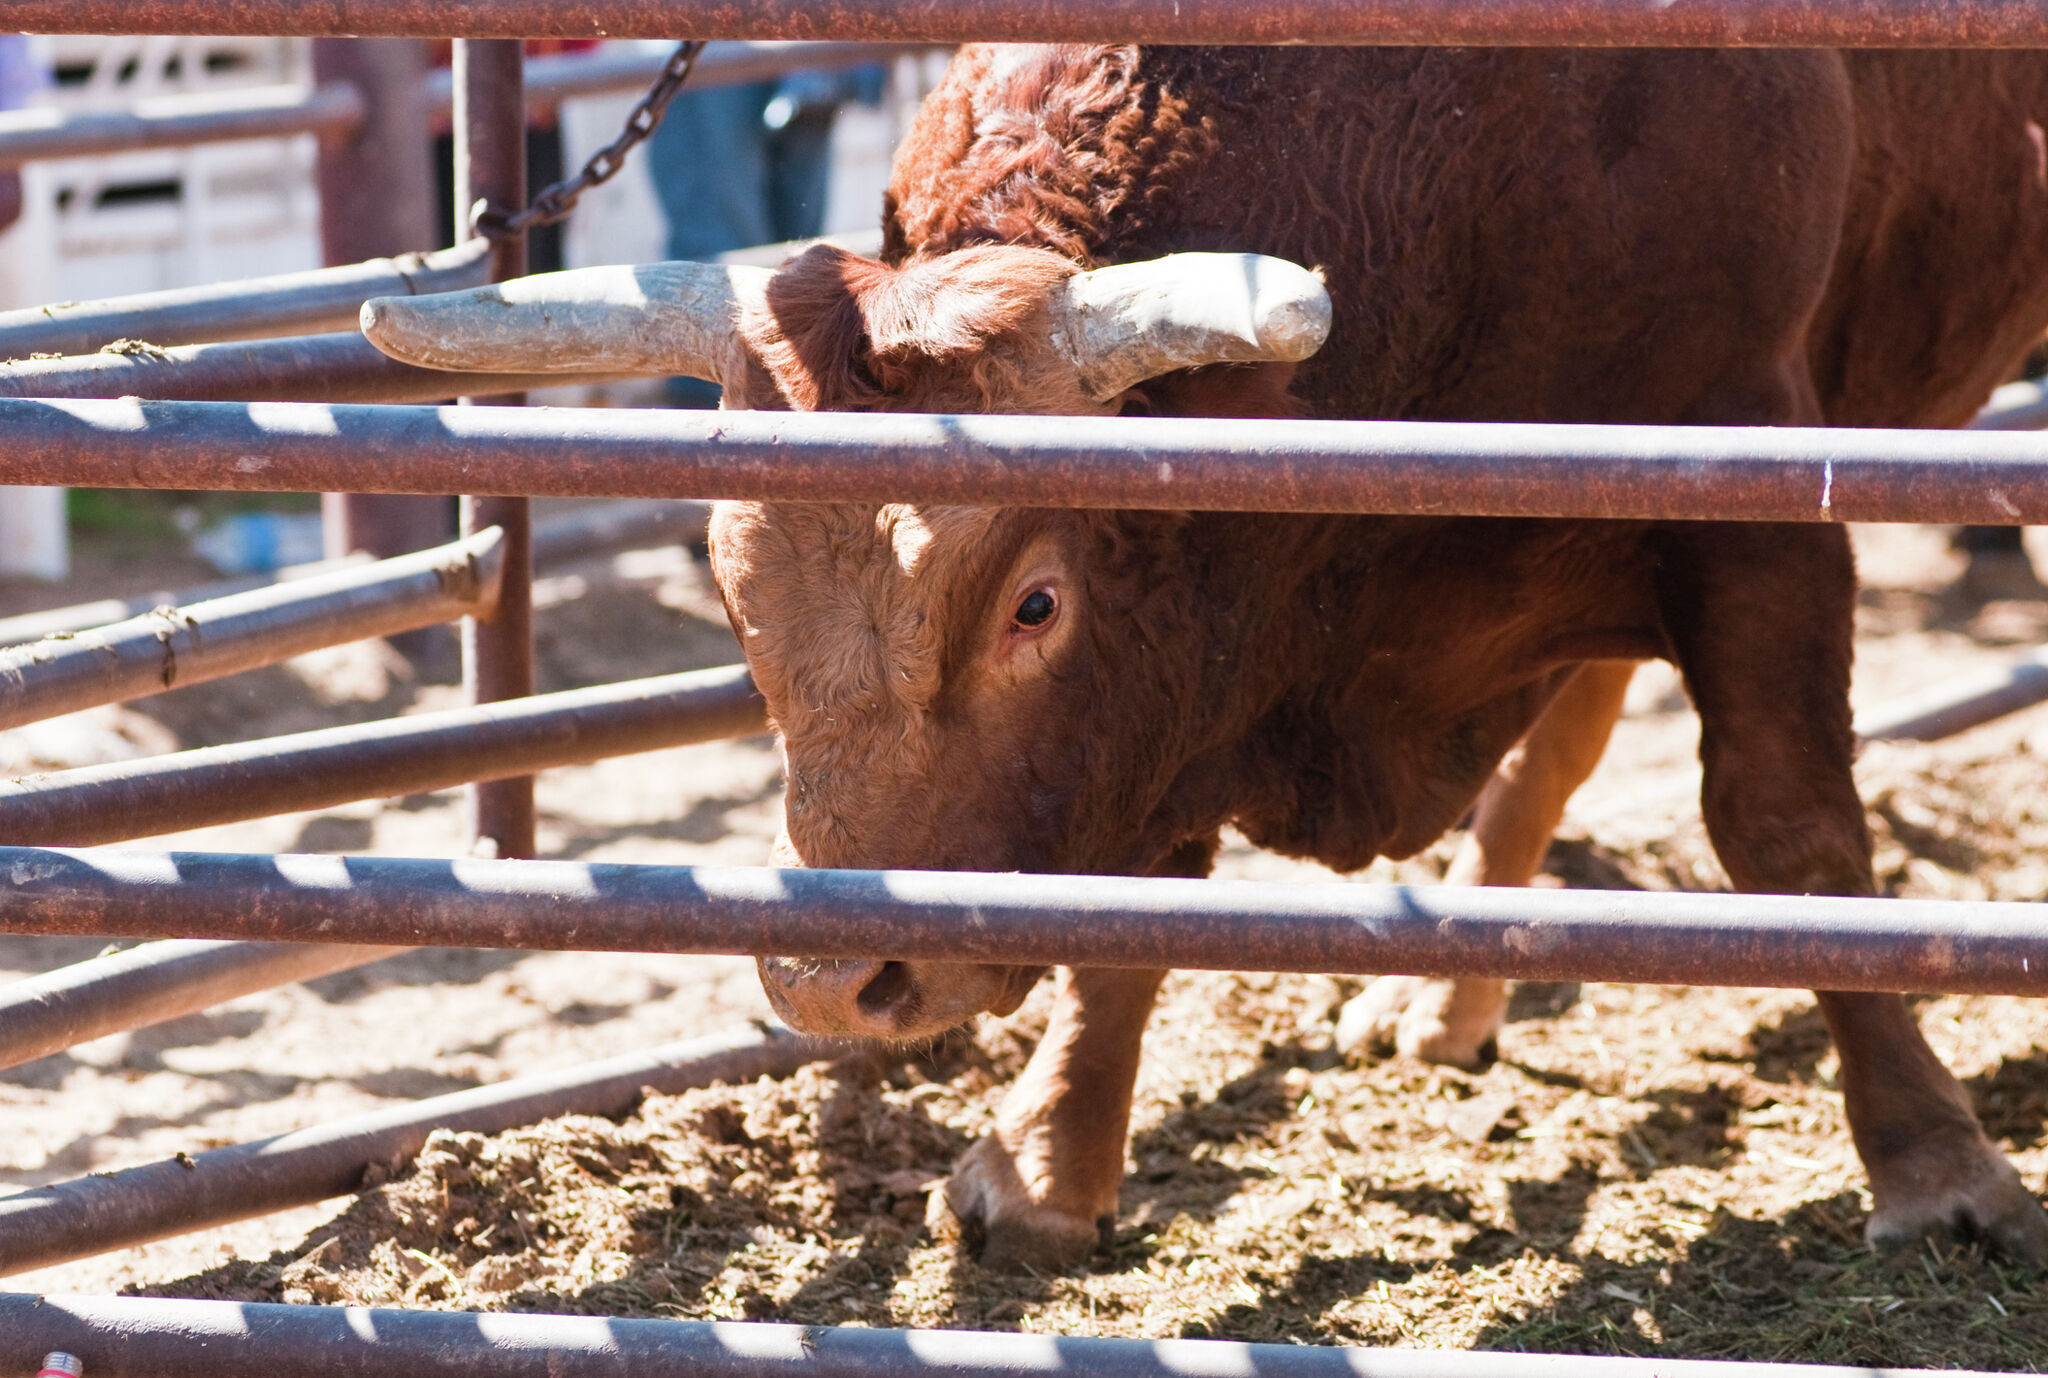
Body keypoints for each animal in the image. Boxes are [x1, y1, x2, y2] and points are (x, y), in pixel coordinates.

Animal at [362, 44, 2048, 1272]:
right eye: (732, 585)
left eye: (1034, 605)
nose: (833, 981)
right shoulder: (1182, 669)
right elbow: (1138, 891)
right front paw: (1048, 1156)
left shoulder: (1750, 497)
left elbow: (1791, 831)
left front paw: (1937, 1165)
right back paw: (1450, 1000)